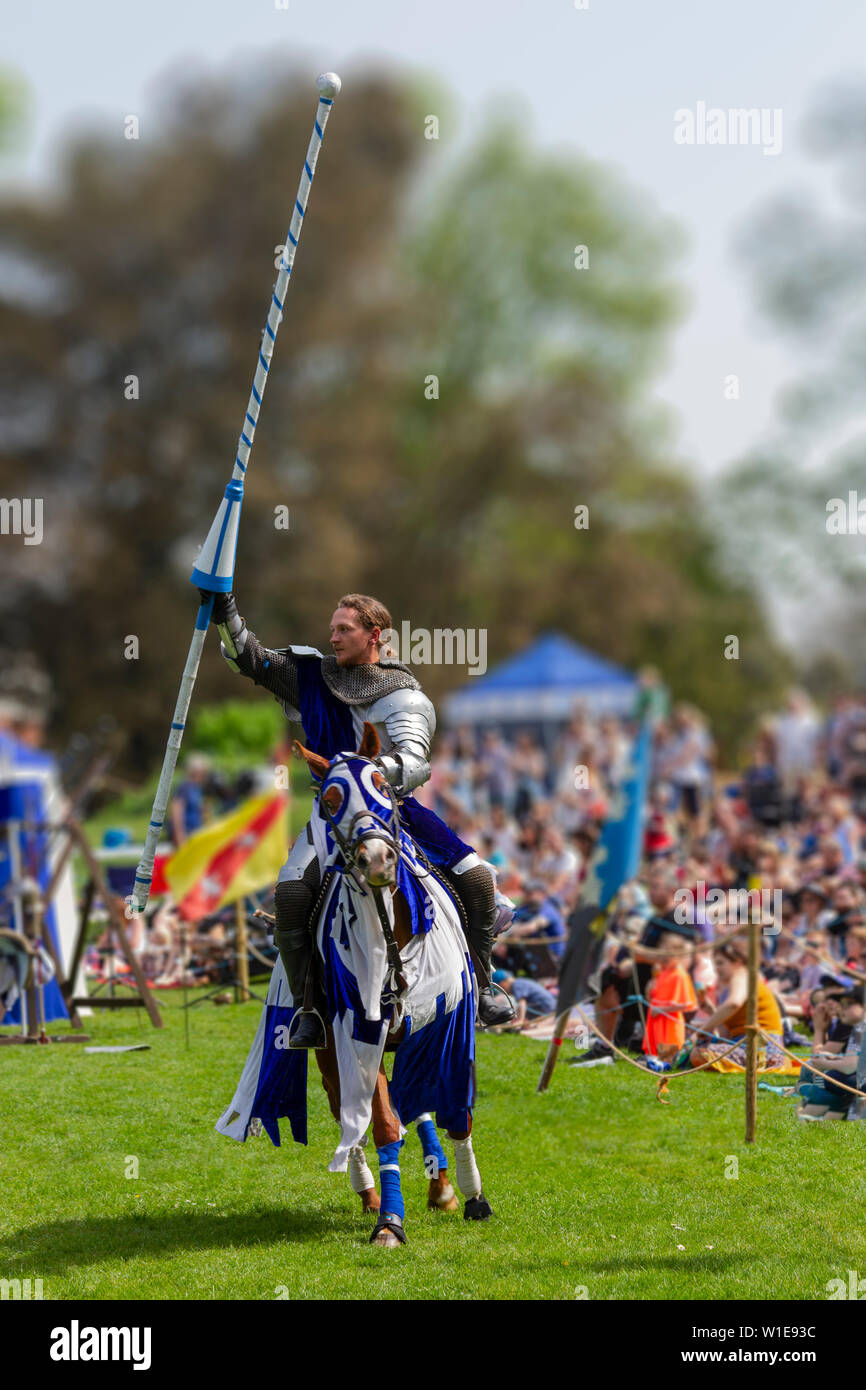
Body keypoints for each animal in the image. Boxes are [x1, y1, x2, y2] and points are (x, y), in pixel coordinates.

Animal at [215, 722, 494, 1245]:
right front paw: (390, 1221)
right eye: (328, 801)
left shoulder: (446, 1029)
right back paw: (370, 1191)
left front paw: (472, 1198)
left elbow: (453, 1113)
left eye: (382, 784)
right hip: (328, 1041)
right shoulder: (357, 1033)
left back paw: (442, 1186)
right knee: (352, 1110)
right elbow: (383, 1124)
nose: (377, 859)